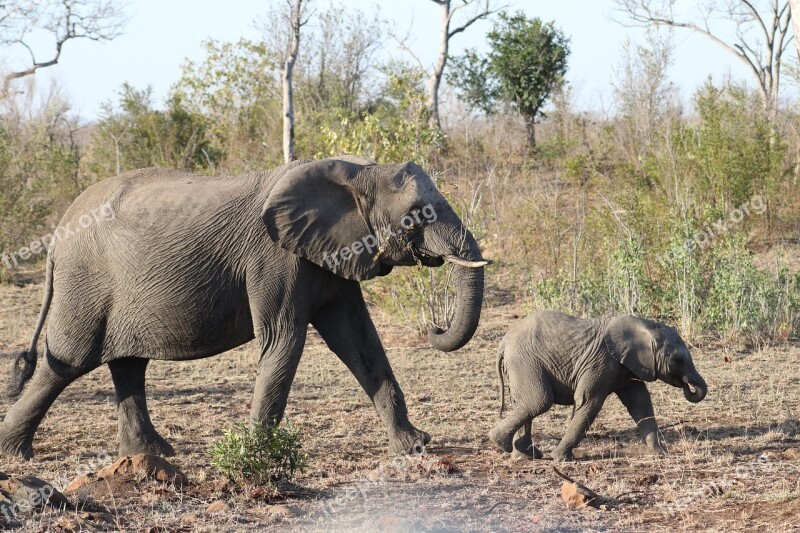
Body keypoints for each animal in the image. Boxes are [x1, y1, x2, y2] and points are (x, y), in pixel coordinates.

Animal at [0, 155, 488, 458]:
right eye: (415, 214)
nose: (434, 330)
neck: (355, 171)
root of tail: (59, 231)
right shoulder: (275, 257)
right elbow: (283, 342)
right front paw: (258, 454)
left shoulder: (330, 253)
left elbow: (359, 341)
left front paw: (414, 447)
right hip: (85, 282)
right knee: (67, 362)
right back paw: (16, 453)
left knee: (128, 364)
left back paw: (151, 454)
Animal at [488, 310, 708, 460]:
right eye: (679, 360)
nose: (688, 385)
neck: (644, 326)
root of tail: (504, 342)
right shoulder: (601, 361)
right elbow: (588, 402)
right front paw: (561, 459)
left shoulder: (626, 365)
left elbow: (640, 403)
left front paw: (659, 454)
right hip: (525, 362)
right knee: (539, 401)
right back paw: (502, 443)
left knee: (524, 402)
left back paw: (524, 455)